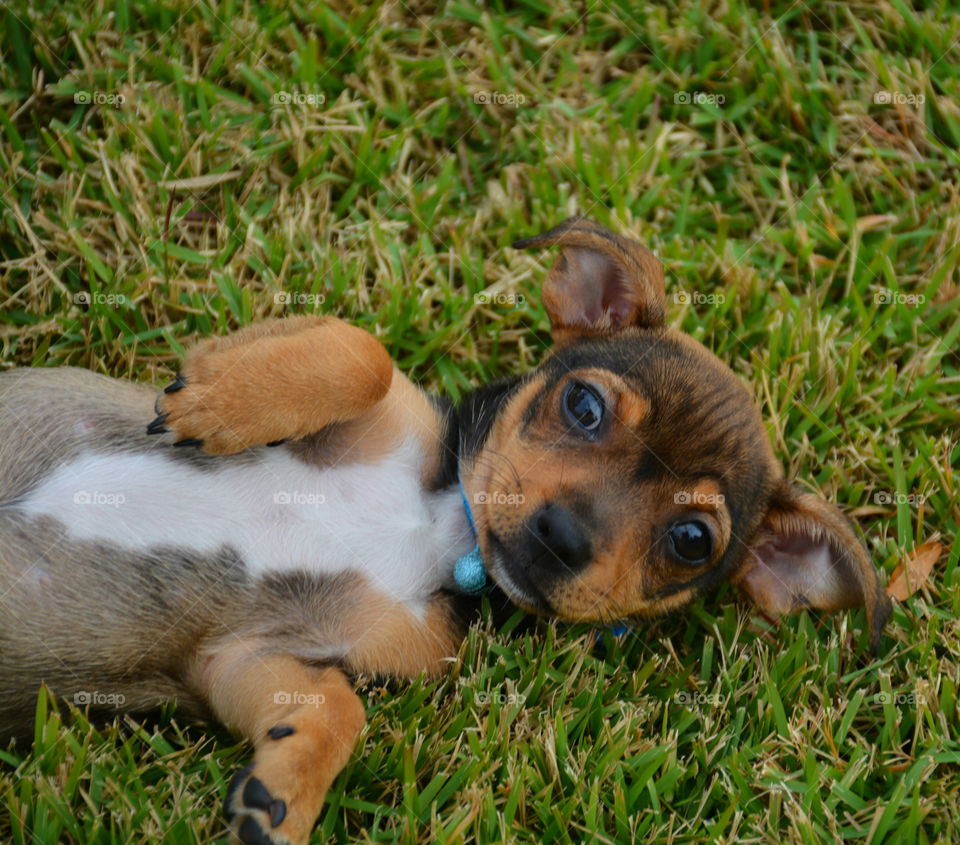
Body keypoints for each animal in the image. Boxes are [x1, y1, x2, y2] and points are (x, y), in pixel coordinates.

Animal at [0, 219, 892, 844]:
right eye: (583, 405)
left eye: (692, 541)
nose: (561, 535)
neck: (438, 527)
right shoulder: (369, 401)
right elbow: (358, 351)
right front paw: (218, 398)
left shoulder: (245, 656)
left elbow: (336, 711)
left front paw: (284, 791)